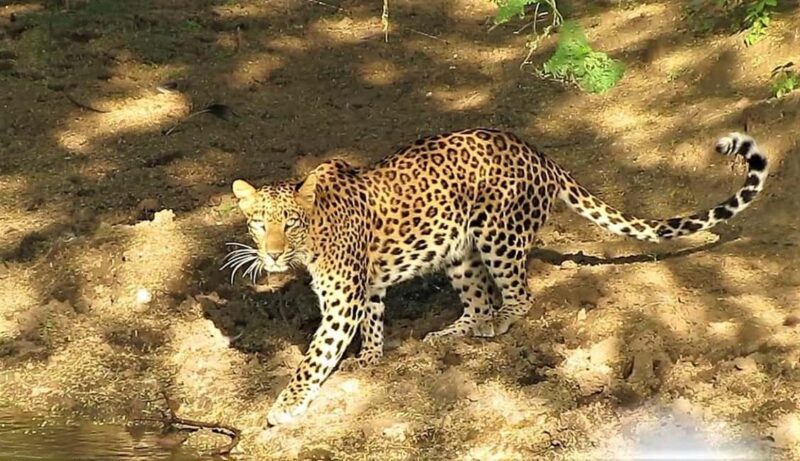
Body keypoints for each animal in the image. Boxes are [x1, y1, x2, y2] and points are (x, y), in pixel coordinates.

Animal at [226, 128, 768, 426]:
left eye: (290, 223)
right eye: (257, 223)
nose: (272, 255)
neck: (316, 236)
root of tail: (536, 152)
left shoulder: (342, 302)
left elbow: (314, 357)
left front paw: (287, 404)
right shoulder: (368, 287)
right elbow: (374, 320)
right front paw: (373, 358)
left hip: (498, 233)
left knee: (519, 295)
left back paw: (498, 323)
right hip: (459, 250)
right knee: (479, 300)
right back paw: (451, 333)